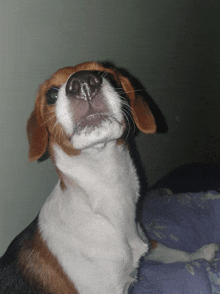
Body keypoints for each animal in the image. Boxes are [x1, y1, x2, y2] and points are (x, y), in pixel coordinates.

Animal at [0, 60, 218, 292]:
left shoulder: (145, 241)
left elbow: (170, 251)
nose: (83, 82)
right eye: (52, 94)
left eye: (106, 74)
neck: (108, 187)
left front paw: (199, 254)